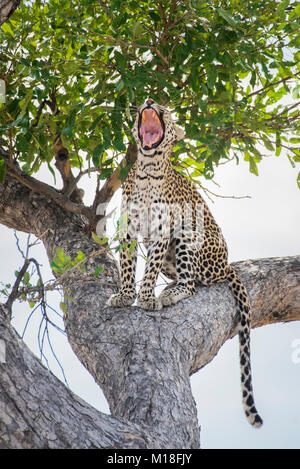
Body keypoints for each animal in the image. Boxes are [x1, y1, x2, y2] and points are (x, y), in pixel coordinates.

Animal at [107, 97, 262, 426]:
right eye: (151, 101)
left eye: (163, 108)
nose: (149, 100)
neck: (147, 170)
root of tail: (227, 263)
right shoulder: (127, 228)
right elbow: (127, 265)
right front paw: (125, 296)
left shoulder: (162, 230)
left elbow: (149, 270)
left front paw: (146, 298)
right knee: (186, 278)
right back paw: (169, 289)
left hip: (189, 234)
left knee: (191, 284)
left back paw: (170, 293)